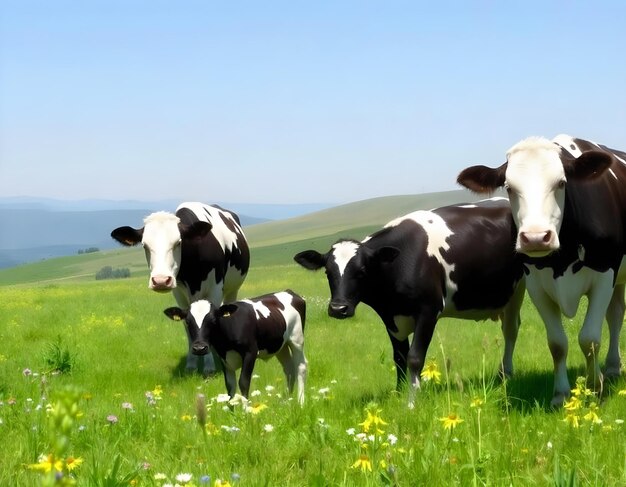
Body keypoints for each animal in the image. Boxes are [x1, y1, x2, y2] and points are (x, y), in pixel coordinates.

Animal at [162, 290, 306, 404]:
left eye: (213, 320)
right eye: (187, 321)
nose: (199, 348)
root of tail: (290, 292)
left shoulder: (250, 353)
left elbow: (243, 382)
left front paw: (246, 413)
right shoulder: (223, 357)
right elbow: (230, 386)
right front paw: (232, 415)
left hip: (297, 339)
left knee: (301, 367)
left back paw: (300, 402)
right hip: (281, 345)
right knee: (289, 369)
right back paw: (287, 400)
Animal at [294, 198, 524, 408]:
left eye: (362, 271)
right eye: (327, 272)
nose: (338, 308)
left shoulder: (429, 311)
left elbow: (414, 358)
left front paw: (412, 402)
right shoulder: (390, 317)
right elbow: (399, 358)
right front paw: (398, 393)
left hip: (518, 289)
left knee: (510, 331)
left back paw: (506, 373)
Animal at [454, 135, 624, 406]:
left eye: (561, 183)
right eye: (509, 188)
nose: (535, 237)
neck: (562, 260)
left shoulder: (604, 276)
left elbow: (589, 339)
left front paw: (595, 388)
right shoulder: (536, 286)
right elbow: (557, 344)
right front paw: (561, 393)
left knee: (615, 318)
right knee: (616, 314)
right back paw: (612, 366)